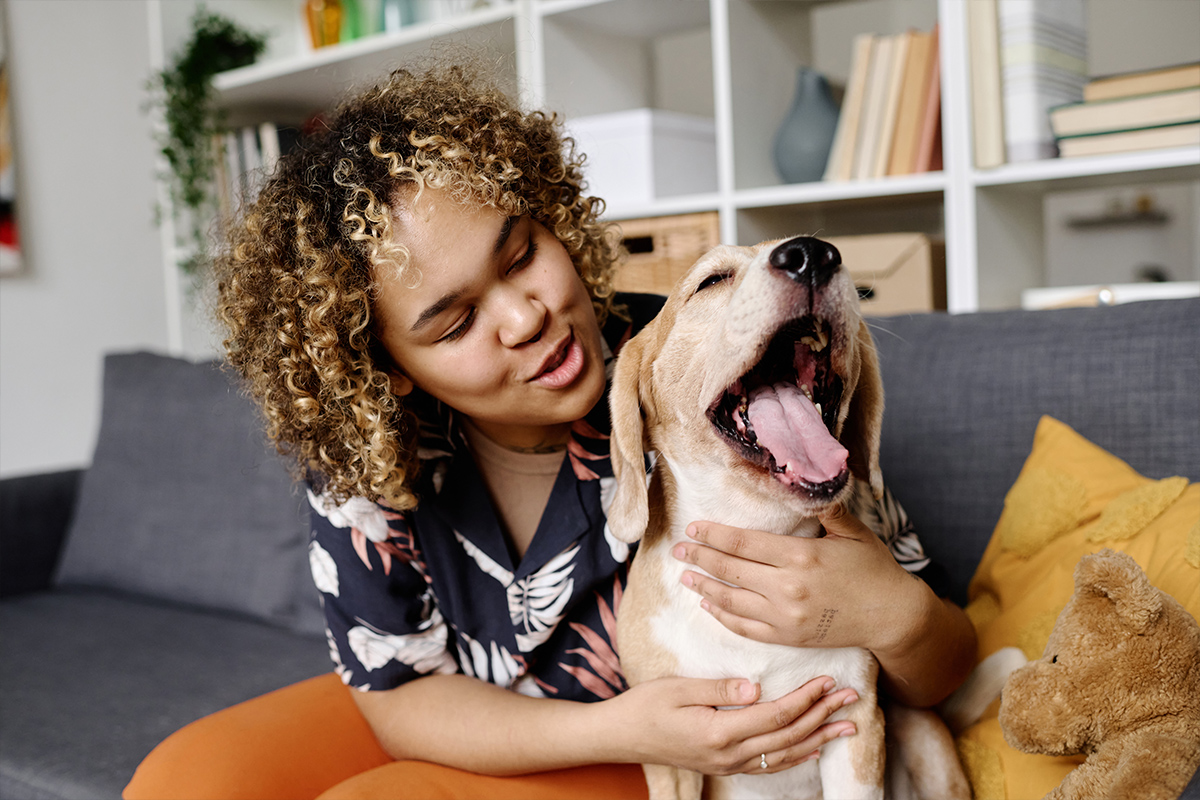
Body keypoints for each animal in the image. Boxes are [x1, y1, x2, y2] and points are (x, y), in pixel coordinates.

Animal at [609, 236, 964, 800]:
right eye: (711, 281)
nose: (811, 254)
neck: (757, 529)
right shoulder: (669, 756)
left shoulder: (855, 720)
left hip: (923, 731)